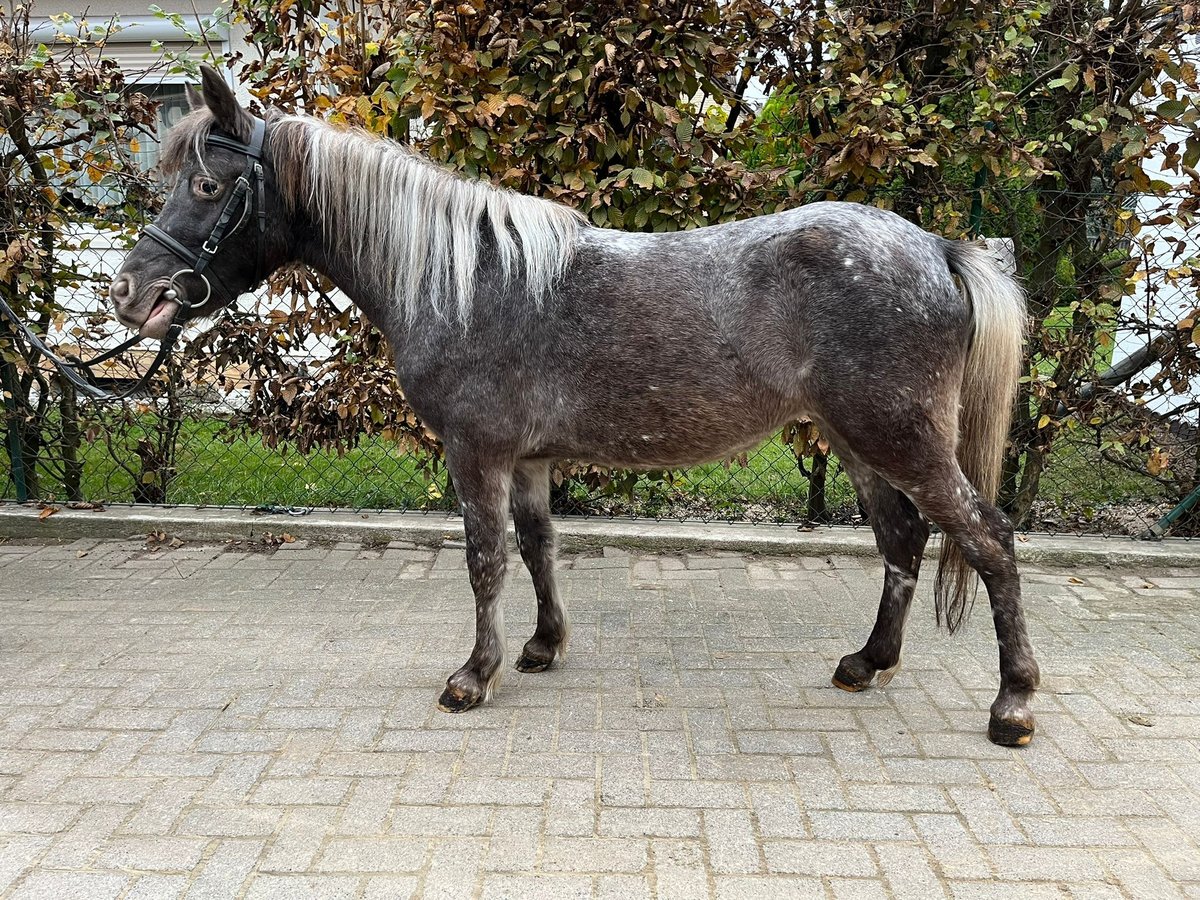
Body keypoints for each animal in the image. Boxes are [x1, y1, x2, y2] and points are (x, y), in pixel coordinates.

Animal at [105, 66, 1041, 748]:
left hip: (898, 436)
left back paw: (1013, 705)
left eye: (204, 185)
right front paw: (540, 647)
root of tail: (937, 248)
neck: (463, 278)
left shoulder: (476, 453)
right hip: (856, 441)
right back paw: (868, 662)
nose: (130, 293)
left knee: (988, 538)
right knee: (903, 540)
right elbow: (538, 548)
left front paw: (472, 677)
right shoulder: (527, 460)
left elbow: (486, 561)